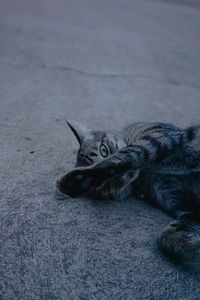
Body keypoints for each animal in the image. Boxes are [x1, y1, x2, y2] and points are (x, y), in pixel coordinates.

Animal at [55, 120, 200, 264]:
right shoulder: (180, 202)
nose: (121, 176)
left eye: (104, 150)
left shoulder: (162, 133)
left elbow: (127, 154)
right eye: (100, 186)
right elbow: (169, 237)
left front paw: (77, 179)